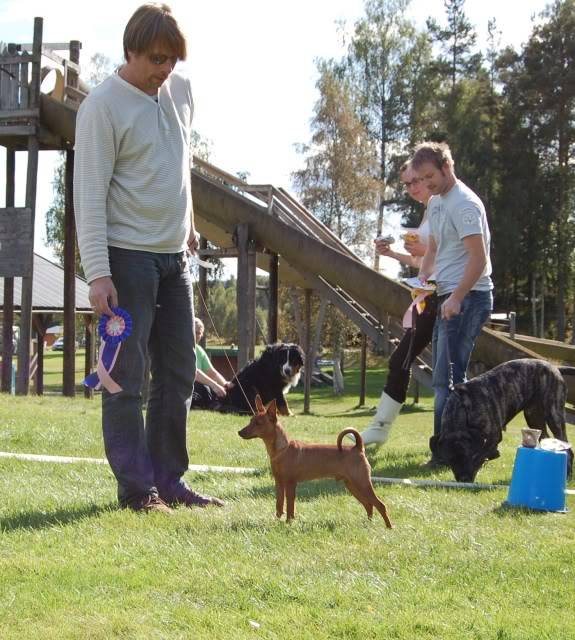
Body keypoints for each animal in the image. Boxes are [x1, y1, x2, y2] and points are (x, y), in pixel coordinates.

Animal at [432, 360, 575, 480]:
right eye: (450, 460)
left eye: (467, 456)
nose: (463, 479)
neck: (463, 407)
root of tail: (554, 367)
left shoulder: (494, 436)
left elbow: (480, 455)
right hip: (534, 418)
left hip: (554, 415)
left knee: (567, 447)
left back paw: (568, 475)